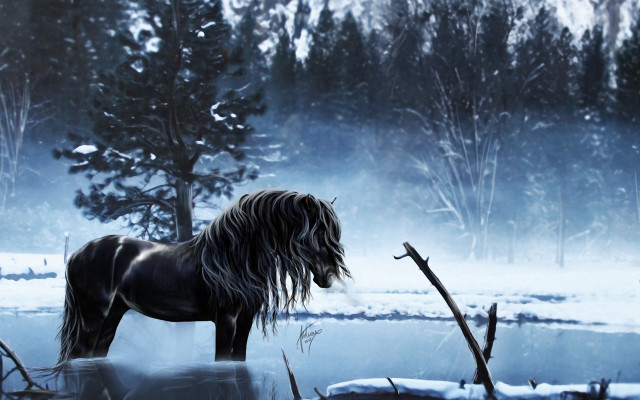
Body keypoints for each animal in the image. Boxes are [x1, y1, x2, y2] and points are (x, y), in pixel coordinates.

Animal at [58, 189, 350, 363]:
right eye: (315, 233)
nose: (327, 277)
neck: (233, 259)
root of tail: (77, 254)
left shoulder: (245, 319)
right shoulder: (226, 319)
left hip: (113, 315)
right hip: (93, 316)